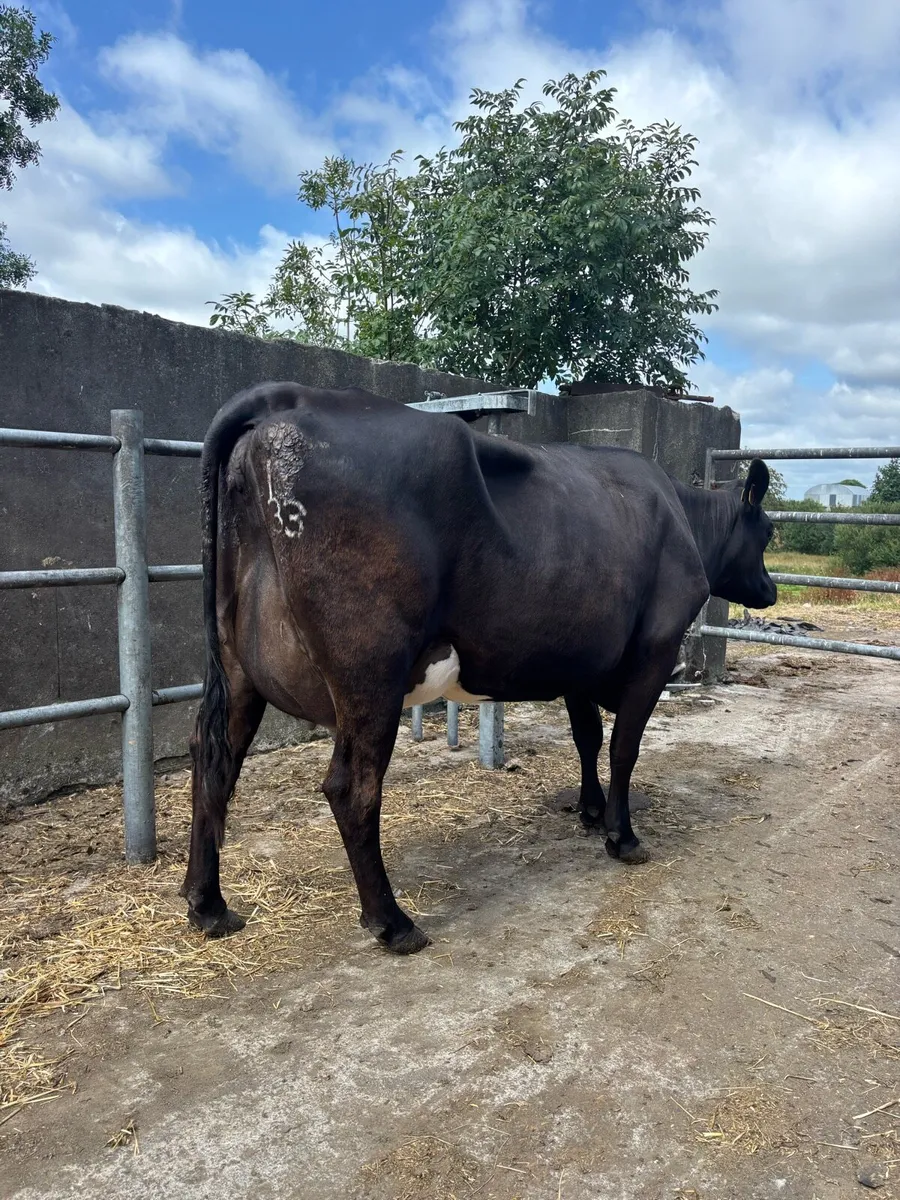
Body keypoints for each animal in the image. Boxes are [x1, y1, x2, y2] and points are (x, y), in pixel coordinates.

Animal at [182, 382, 776, 954]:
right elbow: (623, 747)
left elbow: (587, 736)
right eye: (768, 533)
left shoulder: (579, 658)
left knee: (213, 759)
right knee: (352, 788)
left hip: (237, 667)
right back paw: (393, 924)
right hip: (370, 673)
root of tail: (284, 397)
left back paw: (208, 906)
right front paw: (622, 836)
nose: (771, 591)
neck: (683, 517)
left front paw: (589, 810)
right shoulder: (654, 651)